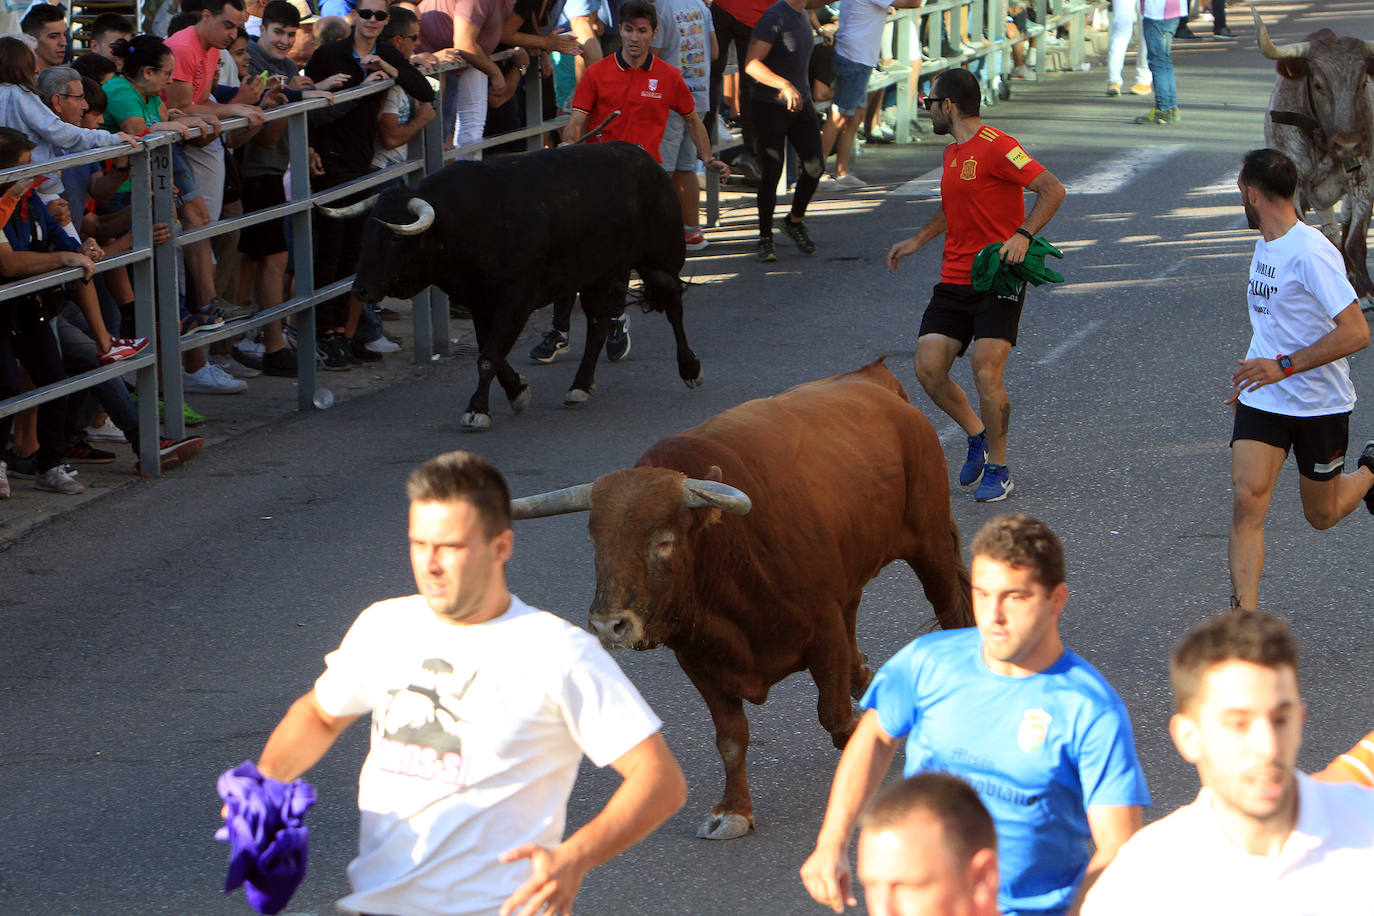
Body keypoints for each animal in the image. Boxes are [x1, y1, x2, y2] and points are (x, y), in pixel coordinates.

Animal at [322, 142, 703, 431]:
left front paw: (478, 408)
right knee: (597, 326)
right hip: (599, 274)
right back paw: (580, 386)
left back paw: (690, 369)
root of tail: (647, 161)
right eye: (366, 234)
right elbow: (490, 351)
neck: (463, 221)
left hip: (660, 262)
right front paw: (517, 391)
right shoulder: (480, 302)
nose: (361, 290)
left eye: (394, 238)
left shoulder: (515, 300)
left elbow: (489, 355)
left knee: (674, 307)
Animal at [511, 357, 972, 840]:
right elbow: (731, 738)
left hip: (930, 544)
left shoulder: (822, 630)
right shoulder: (698, 658)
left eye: (663, 541)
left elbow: (833, 716)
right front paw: (734, 810)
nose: (608, 626)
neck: (728, 552)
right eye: (595, 540)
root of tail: (874, 379)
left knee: (949, 608)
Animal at [1258, 10, 1374, 311]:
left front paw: (1366, 292)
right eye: (1319, 84)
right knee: (1331, 232)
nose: (1348, 143)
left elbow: (1356, 238)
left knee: (1344, 225)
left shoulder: (1365, 177)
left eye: (1362, 83)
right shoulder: (1294, 186)